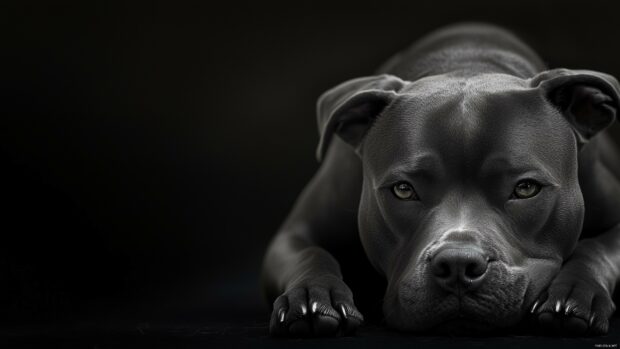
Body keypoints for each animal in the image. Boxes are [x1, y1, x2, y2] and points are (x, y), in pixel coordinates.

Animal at [262, 23, 620, 336]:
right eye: (403, 190)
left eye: (526, 188)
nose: (458, 264)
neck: (467, 63)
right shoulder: (292, 235)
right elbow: (312, 253)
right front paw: (313, 295)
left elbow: (596, 248)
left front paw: (574, 293)